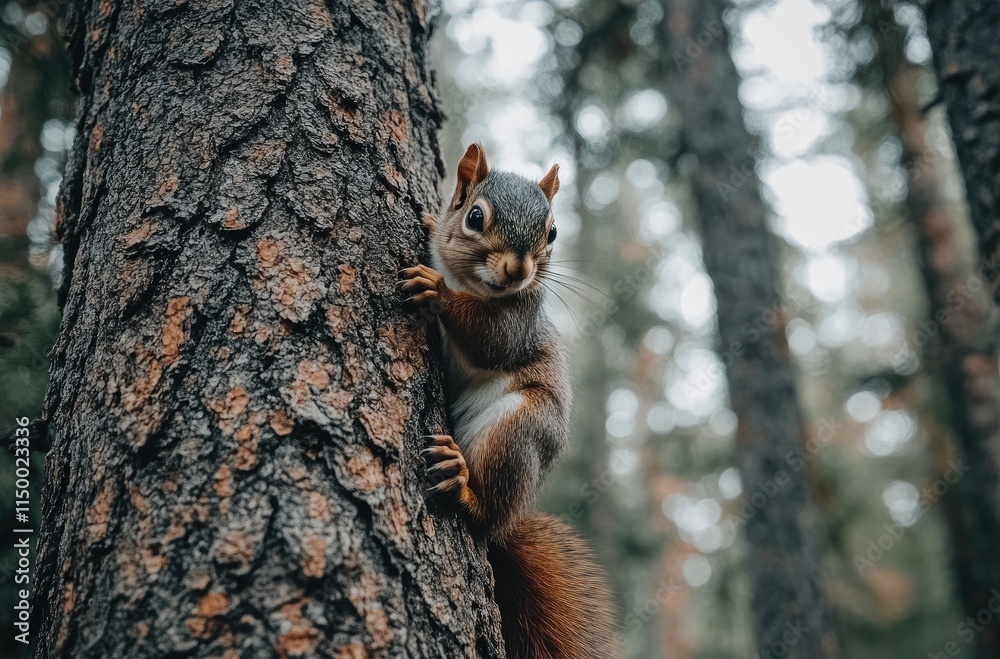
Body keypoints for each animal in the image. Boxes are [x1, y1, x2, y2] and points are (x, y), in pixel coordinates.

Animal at [401, 143, 618, 659]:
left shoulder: (518, 321)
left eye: (552, 232)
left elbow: (490, 340)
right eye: (474, 216)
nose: (517, 271)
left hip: (518, 433)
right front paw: (428, 218)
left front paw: (438, 291)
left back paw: (466, 489)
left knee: (487, 512)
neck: (469, 280)